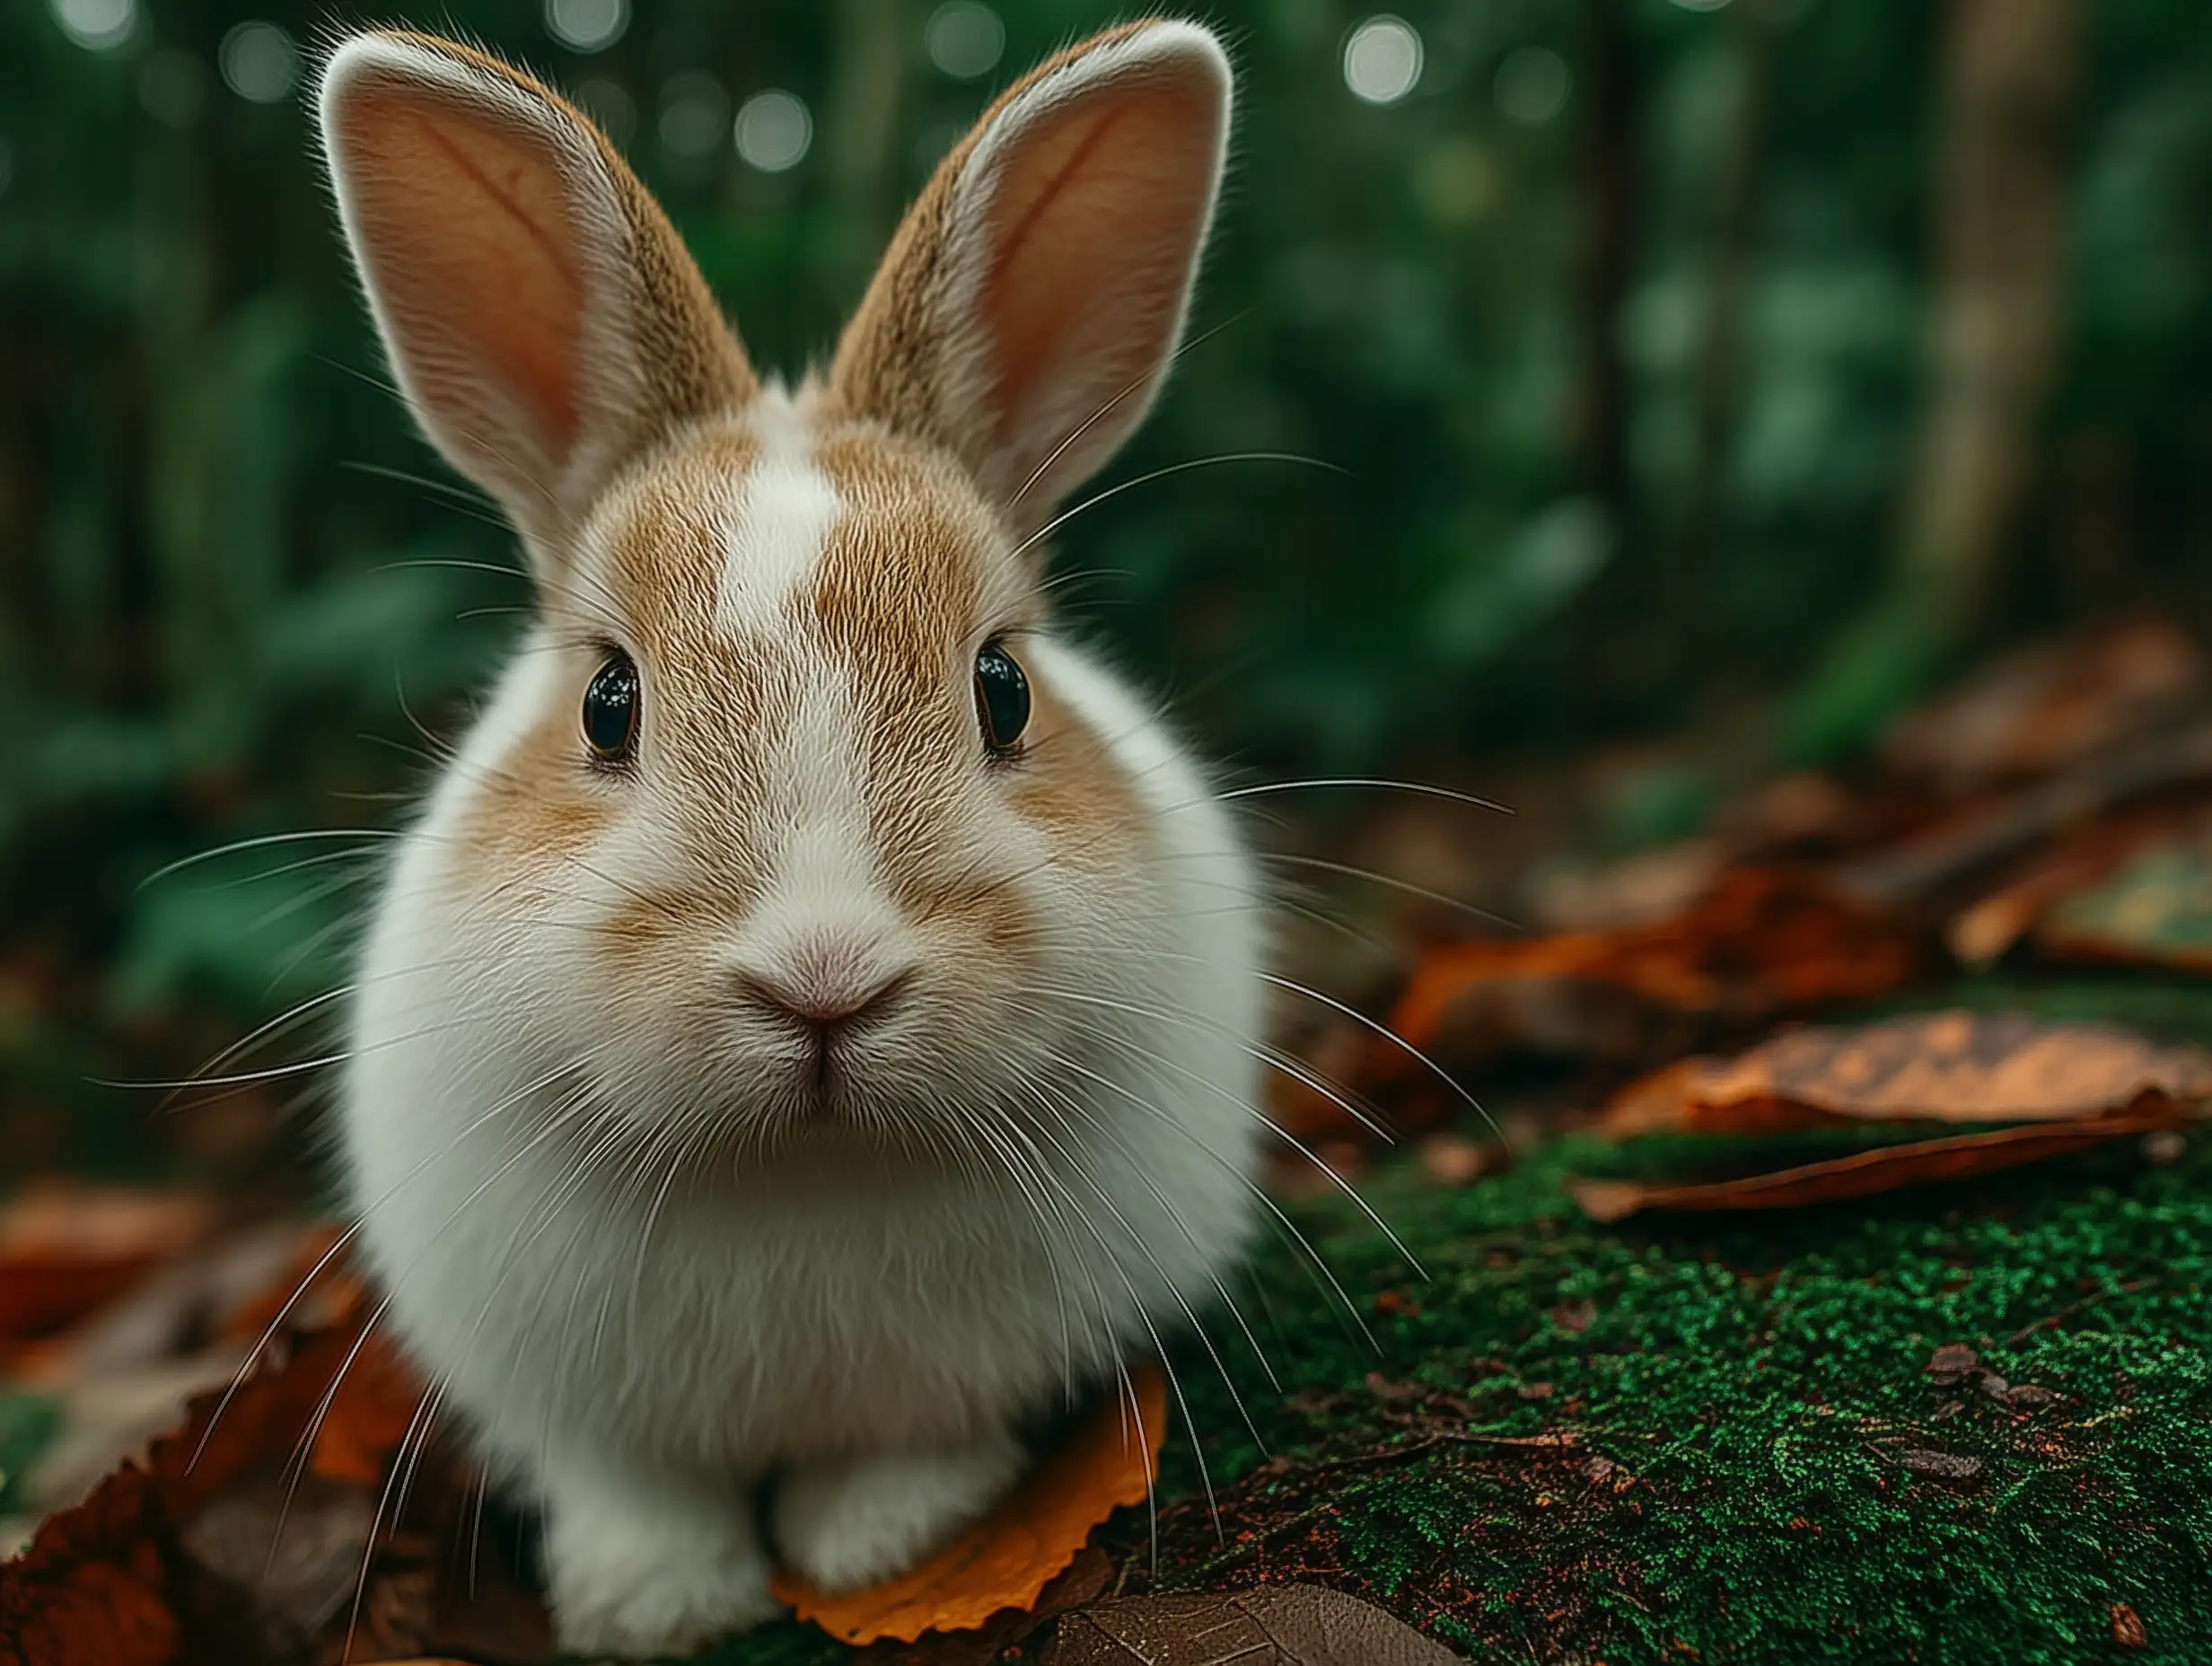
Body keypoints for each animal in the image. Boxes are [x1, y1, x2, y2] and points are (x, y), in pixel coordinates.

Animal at [317, 18, 1263, 1658]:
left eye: (1003, 688)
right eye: (608, 703)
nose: (823, 980)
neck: (802, 1168)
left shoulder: (957, 1377)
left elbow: (914, 1454)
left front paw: (877, 1547)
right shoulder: (571, 1402)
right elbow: (633, 1490)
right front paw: (648, 1606)